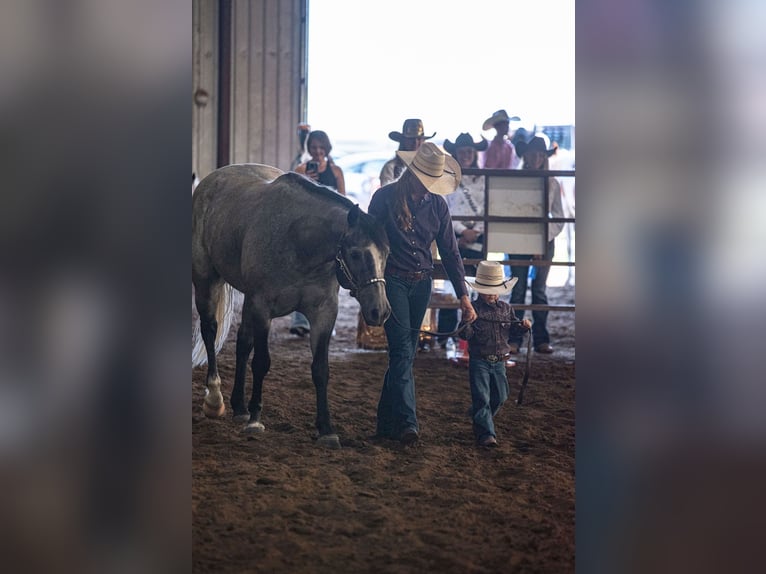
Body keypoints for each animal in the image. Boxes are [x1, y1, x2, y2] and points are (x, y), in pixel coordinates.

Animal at [192, 163, 391, 448]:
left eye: (386, 253)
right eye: (355, 254)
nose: (380, 311)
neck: (299, 241)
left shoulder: (324, 313)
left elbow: (320, 369)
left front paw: (326, 429)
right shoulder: (263, 308)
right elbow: (261, 362)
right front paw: (256, 420)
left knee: (242, 344)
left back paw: (239, 406)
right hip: (207, 282)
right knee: (210, 332)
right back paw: (215, 400)